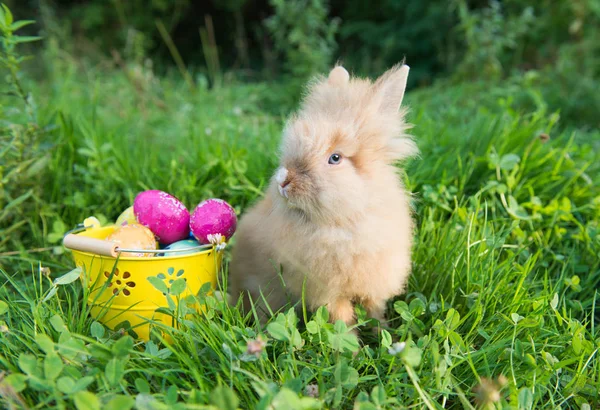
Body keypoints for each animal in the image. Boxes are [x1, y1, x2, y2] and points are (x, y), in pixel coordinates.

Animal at [227, 63, 420, 330]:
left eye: (335, 158)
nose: (283, 181)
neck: (342, 223)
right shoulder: (329, 293)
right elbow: (343, 321)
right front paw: (353, 343)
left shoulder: (374, 284)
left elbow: (375, 311)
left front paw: (385, 333)